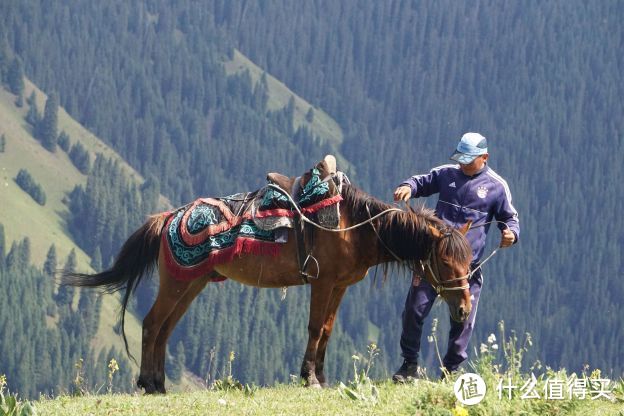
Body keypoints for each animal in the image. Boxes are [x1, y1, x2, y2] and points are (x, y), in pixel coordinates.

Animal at [63, 179, 472, 394]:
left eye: (470, 261)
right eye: (446, 262)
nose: (465, 308)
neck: (353, 227)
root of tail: (168, 218)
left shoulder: (340, 286)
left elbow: (327, 330)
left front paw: (321, 376)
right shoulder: (322, 282)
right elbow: (314, 328)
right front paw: (309, 378)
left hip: (190, 285)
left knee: (163, 329)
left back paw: (159, 383)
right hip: (177, 284)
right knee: (151, 325)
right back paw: (150, 384)